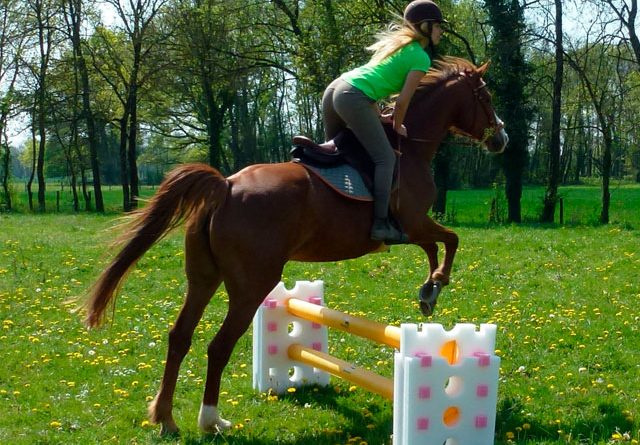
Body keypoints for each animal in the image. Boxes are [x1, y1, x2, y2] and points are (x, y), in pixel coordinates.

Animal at [82, 56, 508, 434]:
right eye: (485, 97)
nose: (501, 138)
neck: (411, 146)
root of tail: (226, 186)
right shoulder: (414, 223)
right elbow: (449, 241)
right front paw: (434, 287)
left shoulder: (416, 228)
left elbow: (437, 247)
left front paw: (428, 289)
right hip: (252, 285)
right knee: (218, 346)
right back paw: (211, 420)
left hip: (203, 278)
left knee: (179, 337)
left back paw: (166, 418)